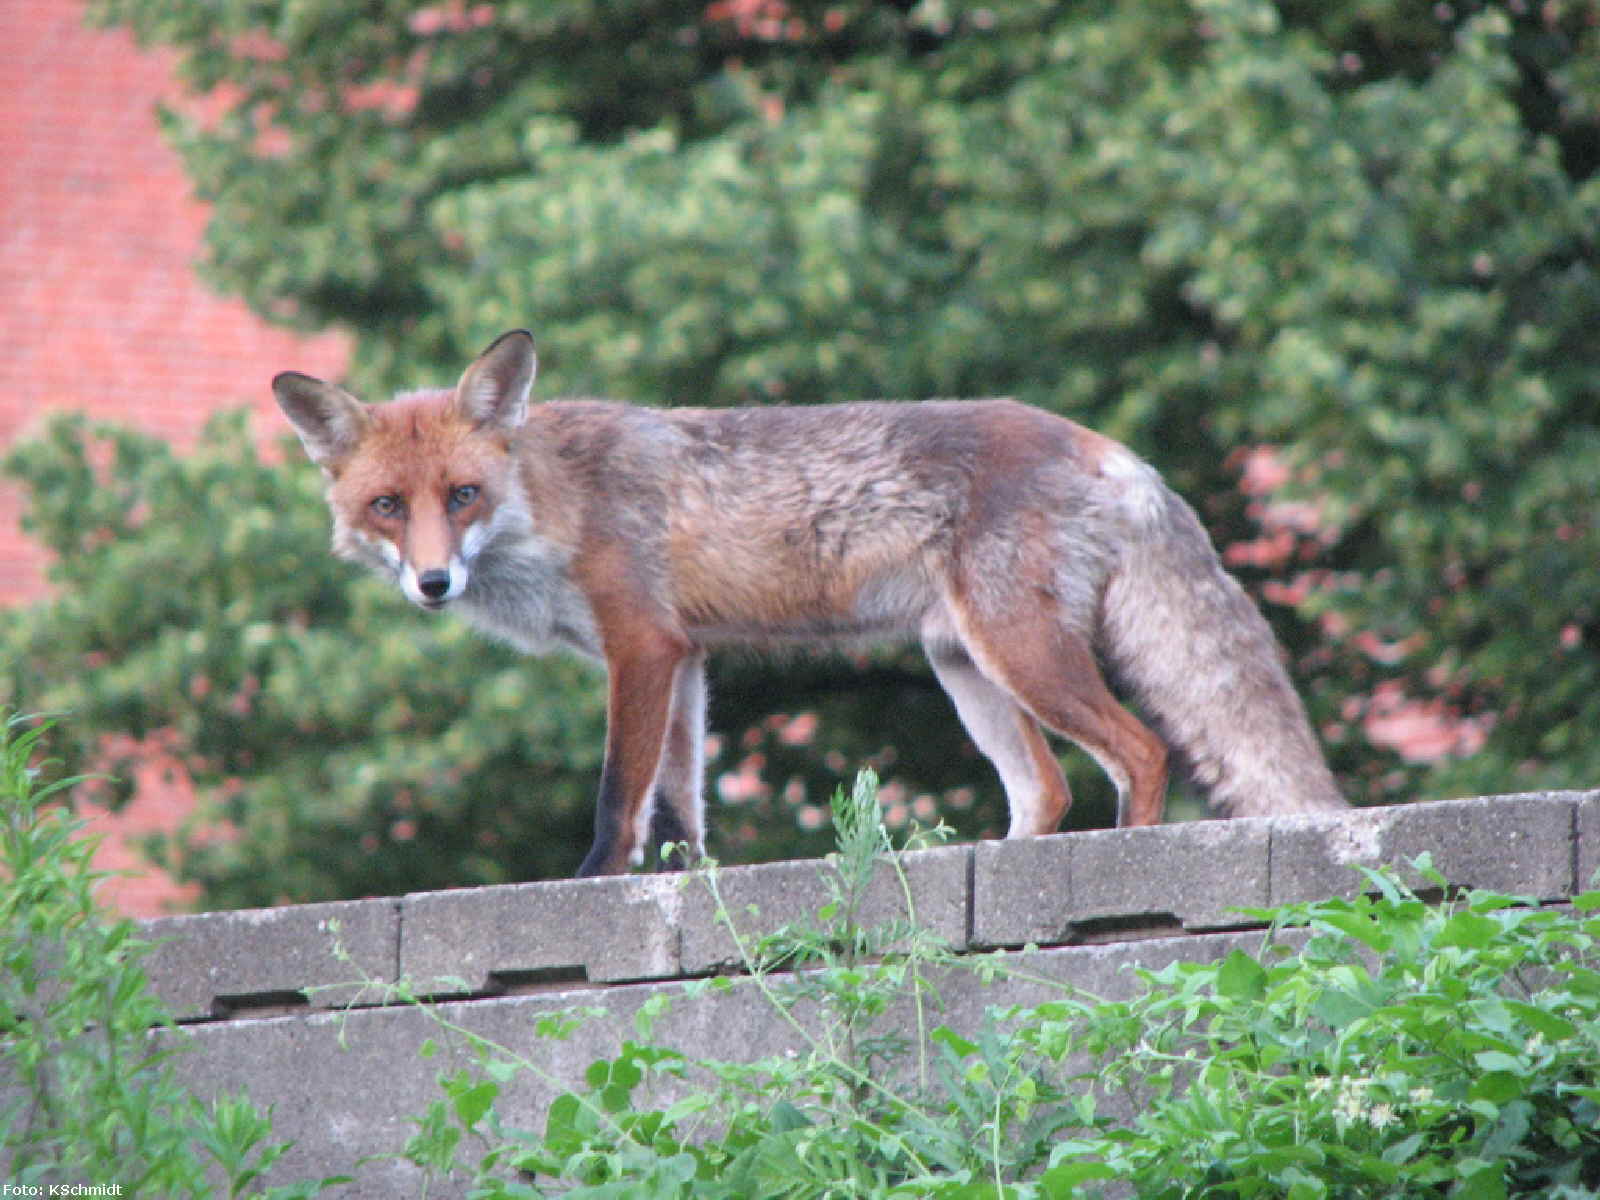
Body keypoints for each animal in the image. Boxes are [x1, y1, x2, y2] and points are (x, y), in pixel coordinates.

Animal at [275, 334, 1350, 876]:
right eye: (387, 506)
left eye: (461, 495)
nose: (432, 584)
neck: (552, 503)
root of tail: (1108, 445)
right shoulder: (687, 661)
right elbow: (681, 807)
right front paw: (683, 883)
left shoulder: (641, 646)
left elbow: (618, 797)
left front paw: (593, 885)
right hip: (966, 670)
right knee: (1044, 790)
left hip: (1024, 654)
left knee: (1144, 750)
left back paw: (1126, 855)